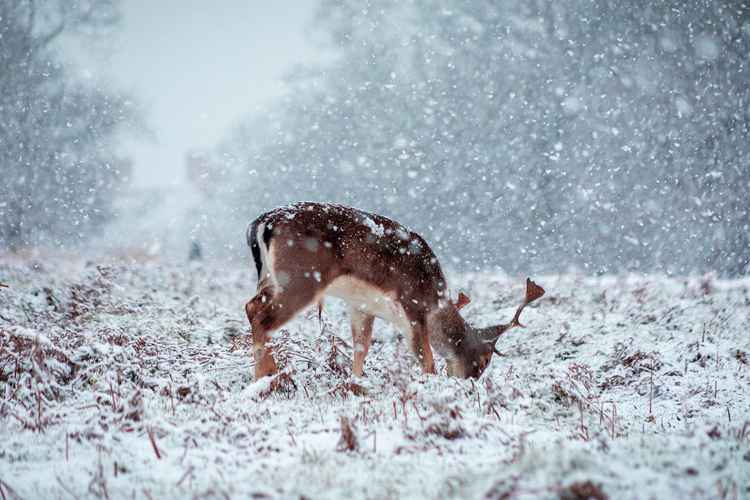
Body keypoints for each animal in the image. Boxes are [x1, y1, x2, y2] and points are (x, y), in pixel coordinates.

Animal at [247, 201, 548, 380]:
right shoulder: (412, 305)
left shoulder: (361, 306)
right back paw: (265, 376)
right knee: (262, 317)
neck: (435, 301)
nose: (469, 381)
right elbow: (426, 359)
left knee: (250, 306)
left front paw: (357, 382)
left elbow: (361, 348)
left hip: (270, 279)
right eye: (485, 359)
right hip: (302, 279)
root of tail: (262, 223)